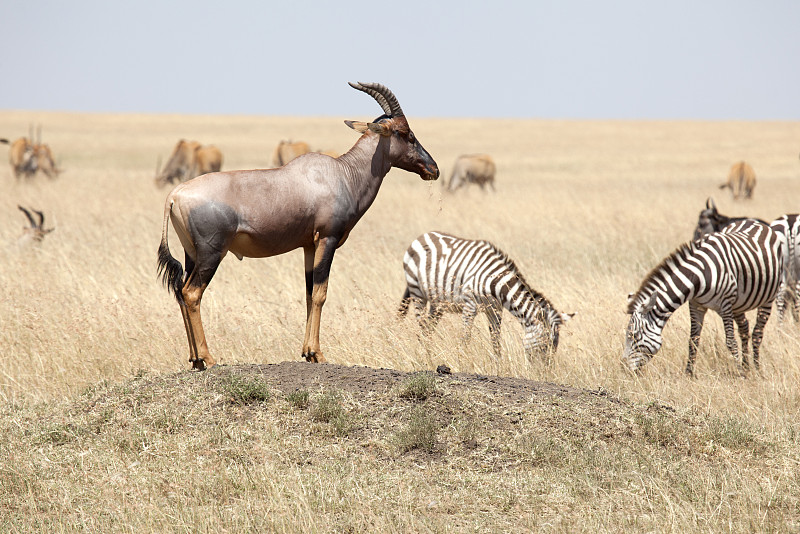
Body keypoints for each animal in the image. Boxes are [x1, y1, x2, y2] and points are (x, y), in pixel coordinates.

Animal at [157, 81, 440, 370]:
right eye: (405, 133)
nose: (433, 169)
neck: (341, 173)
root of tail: (175, 194)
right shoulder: (327, 239)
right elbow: (321, 293)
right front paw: (318, 353)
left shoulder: (308, 246)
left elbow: (308, 293)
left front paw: (307, 353)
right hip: (211, 253)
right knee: (192, 293)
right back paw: (208, 358)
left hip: (192, 253)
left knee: (180, 291)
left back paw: (194, 360)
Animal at [396, 231, 572, 360]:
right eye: (546, 346)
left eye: (554, 347)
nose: (544, 373)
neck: (496, 283)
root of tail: (422, 235)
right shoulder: (470, 305)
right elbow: (466, 337)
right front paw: (464, 361)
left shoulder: (495, 309)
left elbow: (495, 338)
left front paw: (498, 364)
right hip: (417, 291)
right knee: (421, 326)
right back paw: (425, 356)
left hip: (437, 302)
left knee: (428, 328)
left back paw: (429, 355)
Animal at [624, 221, 780, 376]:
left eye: (634, 336)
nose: (623, 368)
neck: (699, 276)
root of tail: (756, 222)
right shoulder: (696, 304)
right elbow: (693, 340)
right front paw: (688, 374)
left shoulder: (726, 304)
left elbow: (730, 341)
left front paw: (740, 374)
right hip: (738, 304)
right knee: (744, 328)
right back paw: (747, 366)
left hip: (768, 297)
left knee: (757, 333)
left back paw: (756, 368)